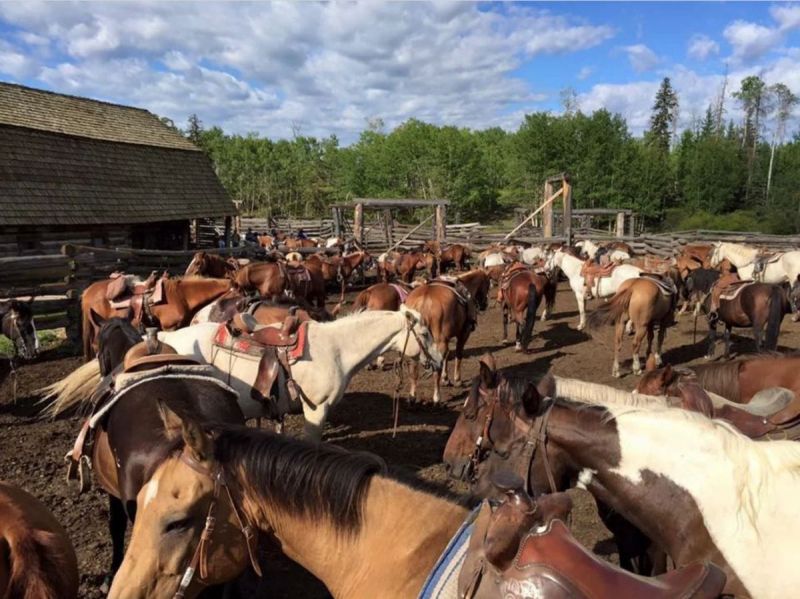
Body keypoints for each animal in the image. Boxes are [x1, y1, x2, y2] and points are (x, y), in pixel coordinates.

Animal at [406, 270, 489, 403]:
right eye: (488, 284)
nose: (485, 304)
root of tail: (424, 299)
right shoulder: (463, 333)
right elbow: (458, 354)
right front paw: (457, 380)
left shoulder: (446, 338)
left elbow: (446, 356)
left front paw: (446, 379)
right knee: (436, 367)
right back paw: (437, 397)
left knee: (414, 367)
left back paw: (412, 395)